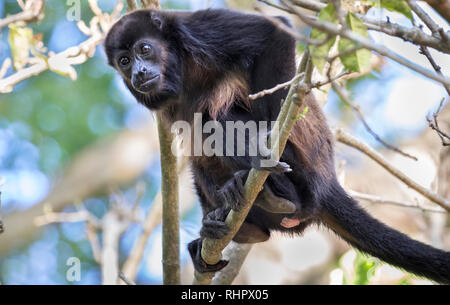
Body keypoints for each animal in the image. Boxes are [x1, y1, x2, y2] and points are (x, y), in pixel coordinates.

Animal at [105, 7, 450, 282]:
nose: (138, 73)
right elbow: (192, 148)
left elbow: (273, 34)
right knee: (202, 150)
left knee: (216, 121)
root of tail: (327, 182)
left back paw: (276, 191)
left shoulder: (197, 29)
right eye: (124, 61)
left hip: (304, 174)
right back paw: (241, 225)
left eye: (144, 49)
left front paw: (270, 127)